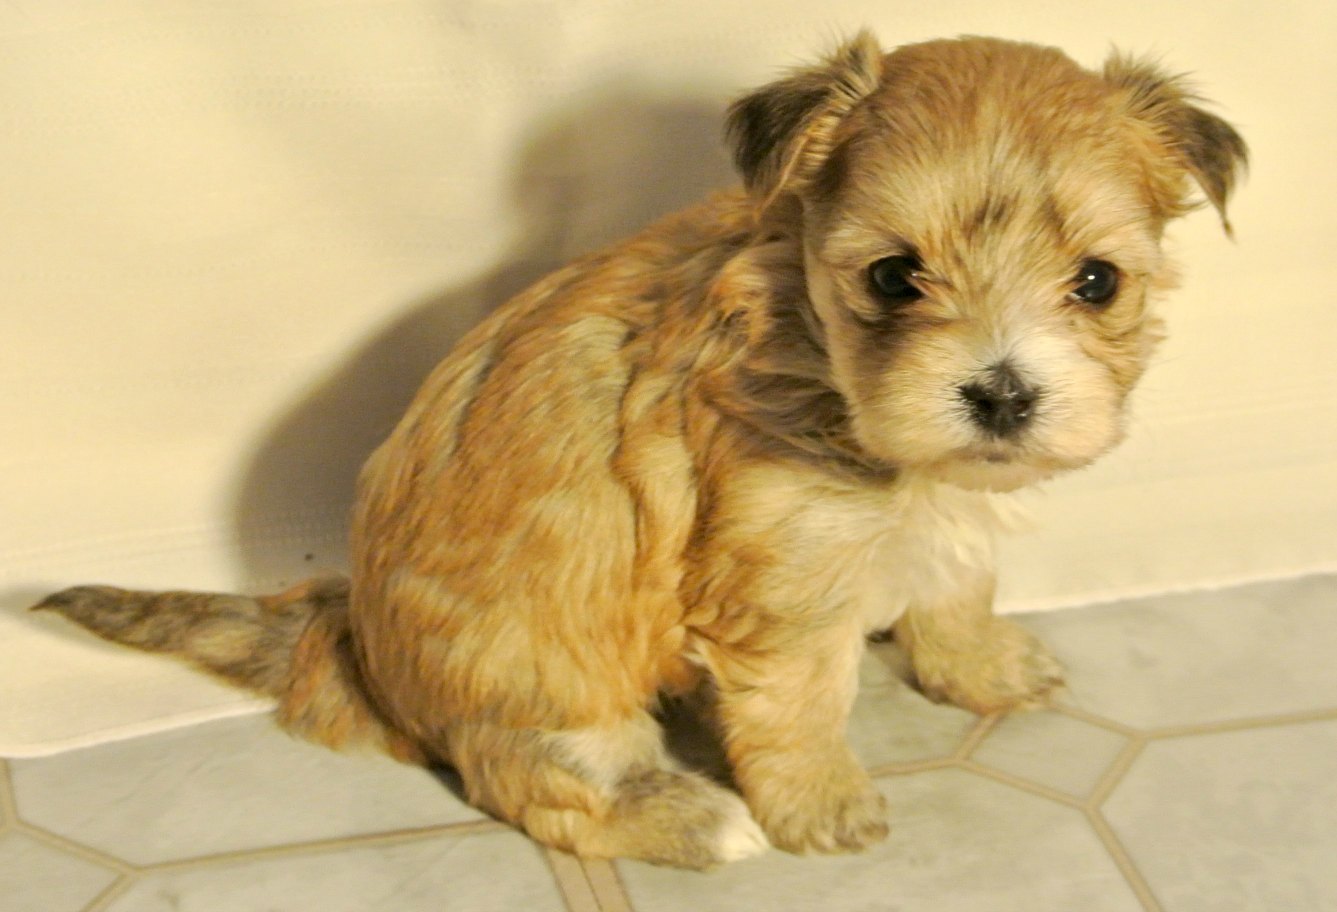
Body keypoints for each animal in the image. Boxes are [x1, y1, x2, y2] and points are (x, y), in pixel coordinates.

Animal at [36, 30, 1246, 866]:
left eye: (1096, 282)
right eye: (893, 277)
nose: (999, 393)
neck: (821, 366)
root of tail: (352, 646)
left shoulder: (937, 508)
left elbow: (957, 581)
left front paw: (983, 669)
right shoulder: (780, 583)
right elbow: (803, 700)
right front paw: (820, 806)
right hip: (546, 684)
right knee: (541, 788)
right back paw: (688, 818)